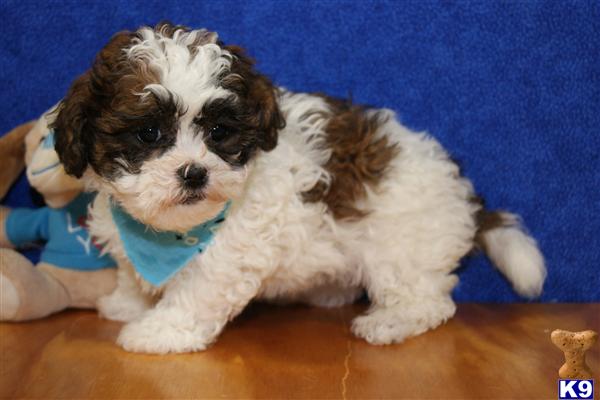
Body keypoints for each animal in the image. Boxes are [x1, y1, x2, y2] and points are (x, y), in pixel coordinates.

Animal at [51, 22, 548, 354]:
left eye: (219, 132)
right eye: (149, 133)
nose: (194, 173)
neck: (170, 232)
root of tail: (464, 190)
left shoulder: (230, 252)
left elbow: (196, 292)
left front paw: (159, 331)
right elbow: (132, 271)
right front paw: (128, 302)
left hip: (404, 247)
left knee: (428, 300)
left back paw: (391, 322)